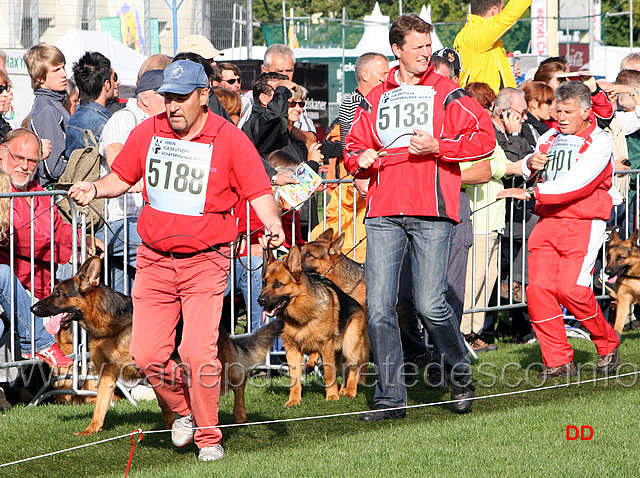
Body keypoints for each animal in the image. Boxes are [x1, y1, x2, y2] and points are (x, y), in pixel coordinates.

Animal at [31, 256, 282, 436]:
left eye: (59, 293)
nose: (33, 308)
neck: (110, 323)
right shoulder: (108, 374)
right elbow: (100, 406)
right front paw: (92, 430)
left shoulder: (149, 370)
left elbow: (164, 403)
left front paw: (172, 427)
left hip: (218, 368)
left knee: (240, 379)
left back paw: (239, 415)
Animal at [256, 246, 368, 408]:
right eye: (264, 282)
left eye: (278, 284)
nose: (260, 300)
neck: (300, 315)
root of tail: (358, 305)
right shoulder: (292, 349)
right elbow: (294, 378)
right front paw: (294, 400)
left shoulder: (326, 346)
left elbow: (329, 373)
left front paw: (332, 396)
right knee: (340, 368)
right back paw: (341, 388)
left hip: (349, 346)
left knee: (353, 368)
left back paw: (349, 392)